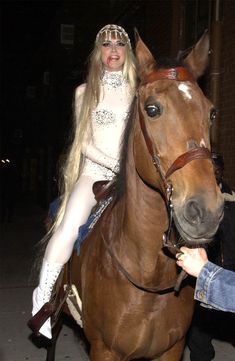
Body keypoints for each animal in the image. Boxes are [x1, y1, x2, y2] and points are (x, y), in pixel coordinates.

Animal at [55, 32, 224, 358]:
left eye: (211, 112)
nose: (206, 211)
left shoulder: (171, 350)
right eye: (152, 109)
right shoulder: (104, 350)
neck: (150, 274)